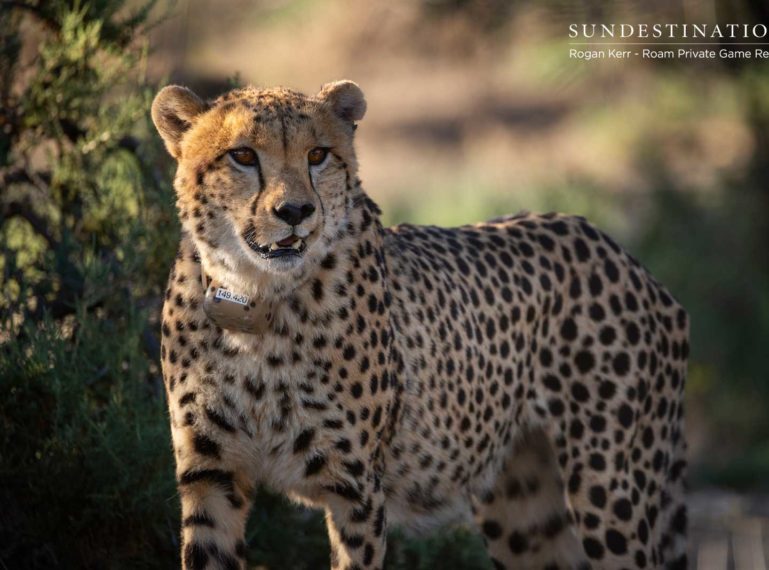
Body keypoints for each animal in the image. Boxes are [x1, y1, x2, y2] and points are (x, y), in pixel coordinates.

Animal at [152, 80, 688, 568]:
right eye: (242, 155)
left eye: (318, 154)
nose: (296, 211)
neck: (254, 299)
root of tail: (618, 249)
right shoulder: (211, 476)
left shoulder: (355, 488)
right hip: (525, 507)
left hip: (607, 489)